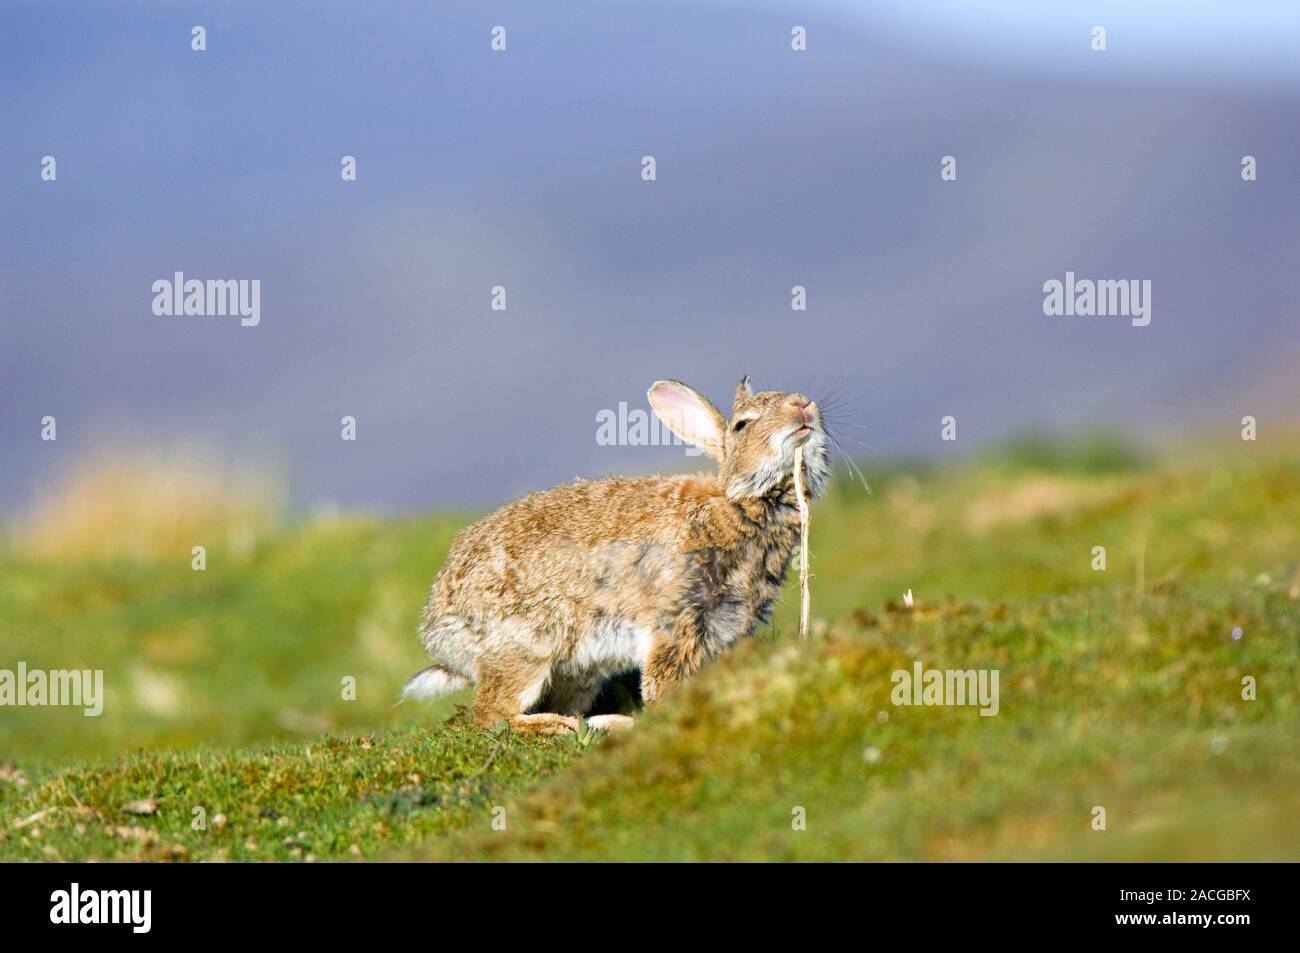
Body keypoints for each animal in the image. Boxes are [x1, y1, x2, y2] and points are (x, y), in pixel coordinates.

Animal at [402, 376, 829, 734]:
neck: (737, 503)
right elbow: (661, 684)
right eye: (742, 425)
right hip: (528, 646)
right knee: (492, 714)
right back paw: (561, 727)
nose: (802, 405)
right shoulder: (675, 620)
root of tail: (439, 635)